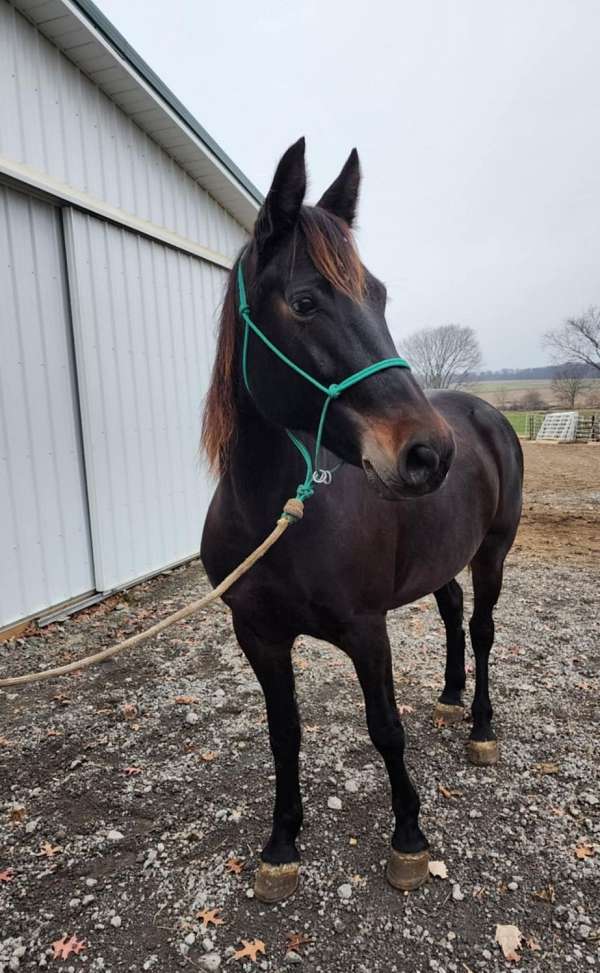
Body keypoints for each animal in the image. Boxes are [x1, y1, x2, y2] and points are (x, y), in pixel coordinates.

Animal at [199, 139, 524, 904]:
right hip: (440, 559)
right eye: (305, 301)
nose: (429, 453)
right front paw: (282, 842)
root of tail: (484, 416)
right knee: (453, 612)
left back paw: (480, 725)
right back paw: (449, 696)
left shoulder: (365, 629)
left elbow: (386, 728)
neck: (277, 518)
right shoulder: (258, 635)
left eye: (377, 295)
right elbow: (283, 732)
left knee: (482, 627)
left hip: (494, 551)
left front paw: (408, 835)